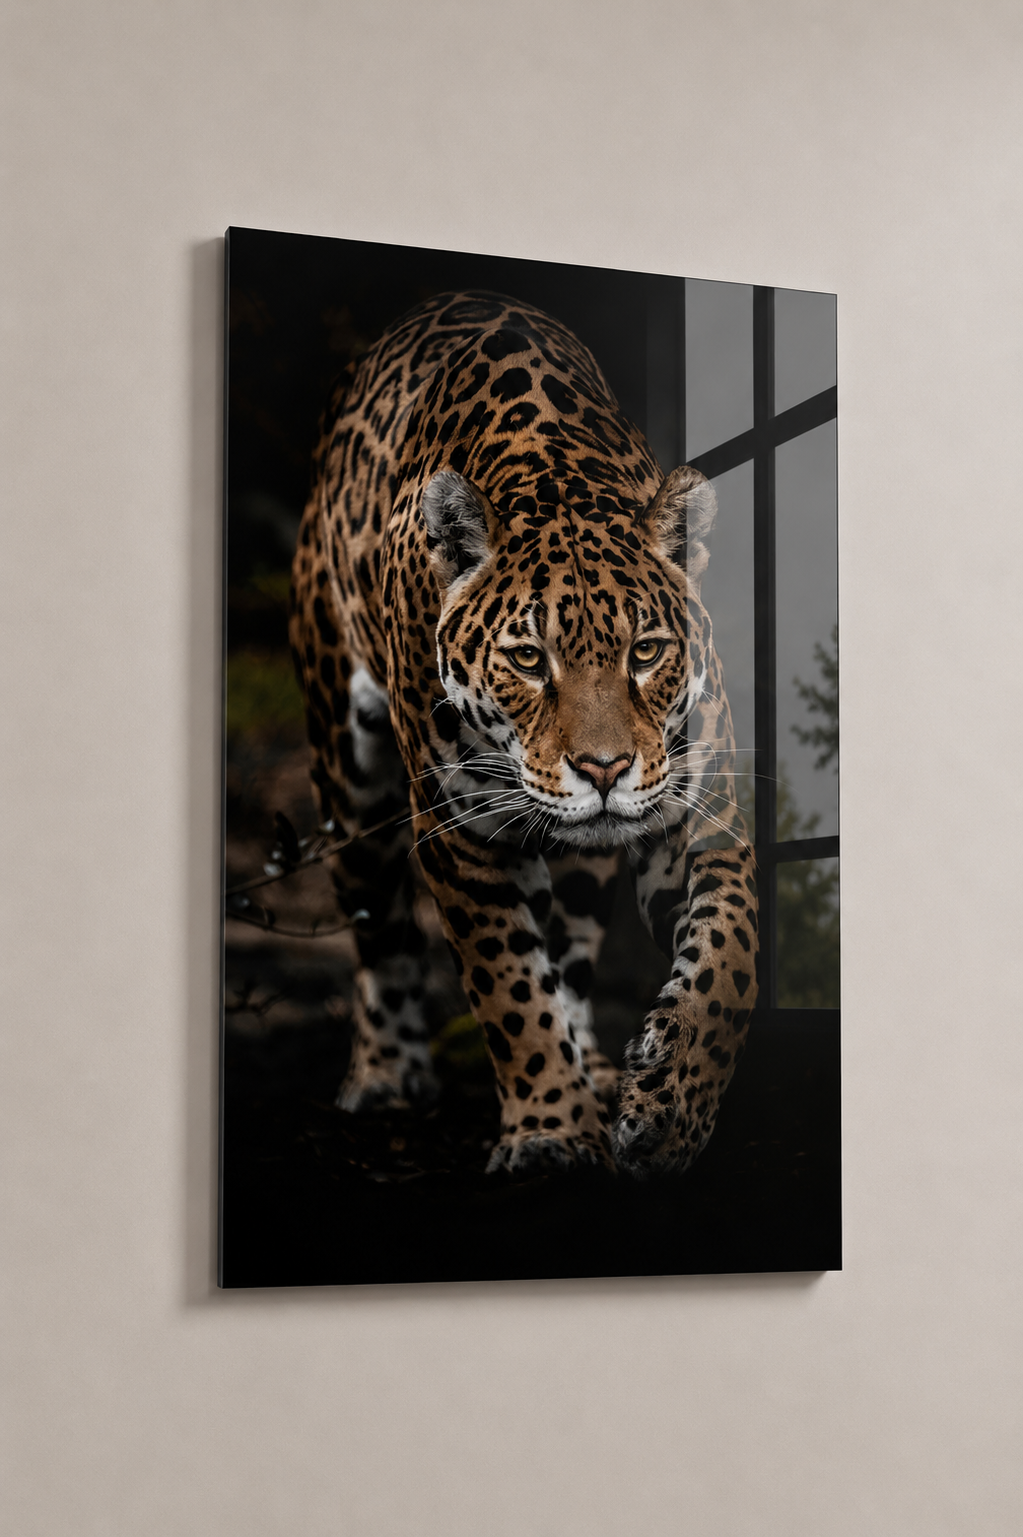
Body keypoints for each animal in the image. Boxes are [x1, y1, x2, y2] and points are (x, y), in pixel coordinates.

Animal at [289, 290, 758, 1177]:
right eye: (528, 658)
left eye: (646, 651)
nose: (604, 769)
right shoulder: (460, 830)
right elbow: (507, 983)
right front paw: (550, 1131)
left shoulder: (699, 811)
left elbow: (727, 959)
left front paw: (668, 1108)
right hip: (346, 767)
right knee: (379, 928)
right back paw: (387, 1071)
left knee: (567, 942)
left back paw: (599, 1063)